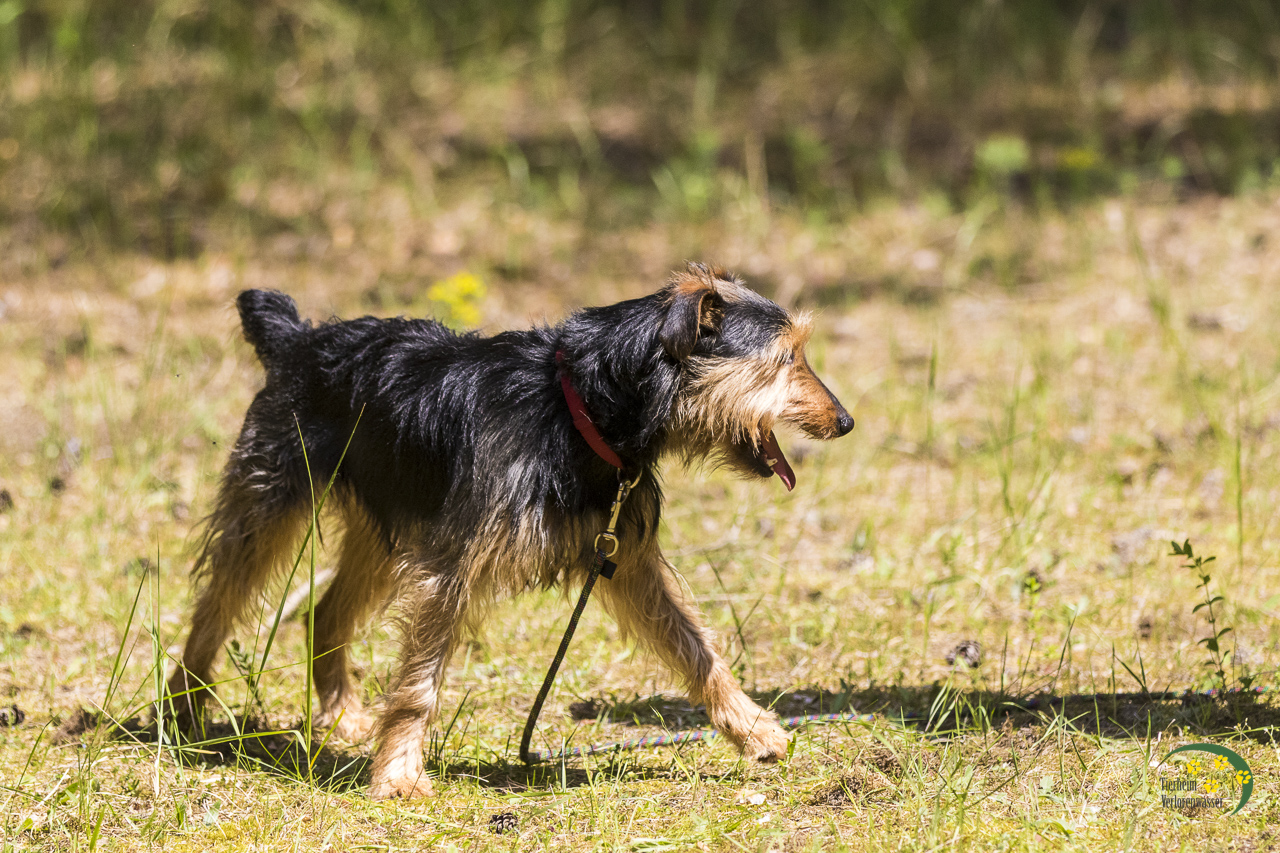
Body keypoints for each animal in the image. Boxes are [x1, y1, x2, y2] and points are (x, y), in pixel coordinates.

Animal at [166, 262, 854, 799]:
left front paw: (752, 728)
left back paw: (345, 717)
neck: (579, 405)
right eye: (785, 359)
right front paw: (398, 775)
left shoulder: (627, 560)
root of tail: (300, 340)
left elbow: (698, 650)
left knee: (324, 613)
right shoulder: (451, 567)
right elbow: (418, 686)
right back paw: (182, 711)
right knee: (215, 606)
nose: (846, 422)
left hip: (384, 529)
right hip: (269, 503)